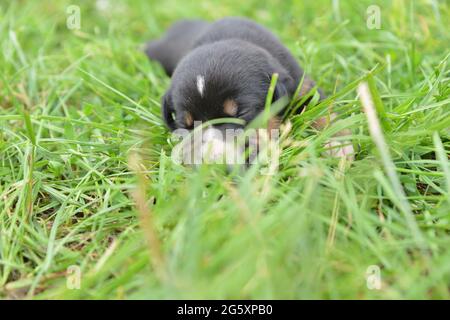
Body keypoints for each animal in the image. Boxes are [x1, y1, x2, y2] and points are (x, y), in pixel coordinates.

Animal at [146, 16, 354, 164]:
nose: (213, 161)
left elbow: (323, 113)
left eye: (242, 113)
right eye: (186, 125)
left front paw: (338, 144)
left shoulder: (303, 86)